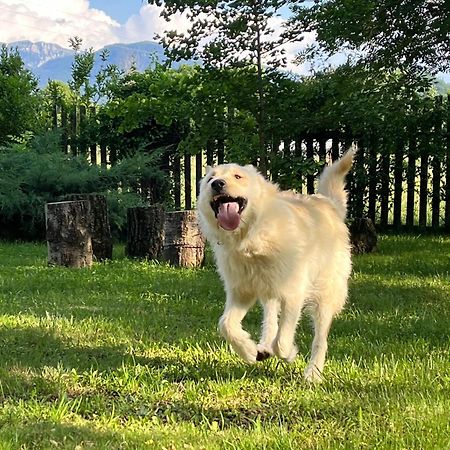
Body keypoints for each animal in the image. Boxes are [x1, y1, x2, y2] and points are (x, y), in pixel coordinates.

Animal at [197, 149, 356, 382]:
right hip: (269, 289)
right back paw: (264, 344)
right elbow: (226, 325)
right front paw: (248, 350)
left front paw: (289, 353)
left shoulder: (294, 292)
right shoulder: (241, 292)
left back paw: (313, 373)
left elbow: (283, 339)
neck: (253, 237)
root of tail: (329, 204)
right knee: (270, 314)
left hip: (325, 295)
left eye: (238, 176)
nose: (217, 184)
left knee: (320, 338)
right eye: (210, 178)